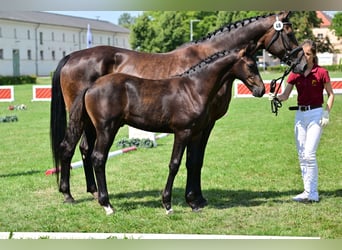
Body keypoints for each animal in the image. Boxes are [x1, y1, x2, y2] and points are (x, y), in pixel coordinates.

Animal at [59, 46, 264, 214]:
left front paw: (194, 203)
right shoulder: (182, 132)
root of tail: (91, 87)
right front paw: (167, 204)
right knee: (98, 158)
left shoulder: (196, 133)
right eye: (251, 65)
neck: (193, 89)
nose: (261, 90)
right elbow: (174, 164)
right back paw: (106, 204)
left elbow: (193, 162)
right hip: (106, 129)